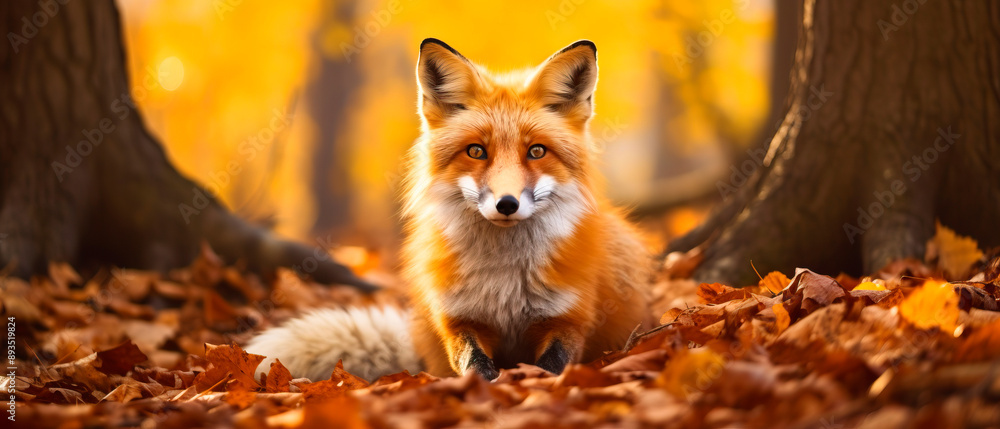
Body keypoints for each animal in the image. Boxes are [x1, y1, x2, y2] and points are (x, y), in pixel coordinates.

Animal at [245, 39, 653, 381]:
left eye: (536, 151)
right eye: (476, 151)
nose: (507, 204)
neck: (504, 282)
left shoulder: (568, 318)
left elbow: (552, 366)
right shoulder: (458, 320)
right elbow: (473, 363)